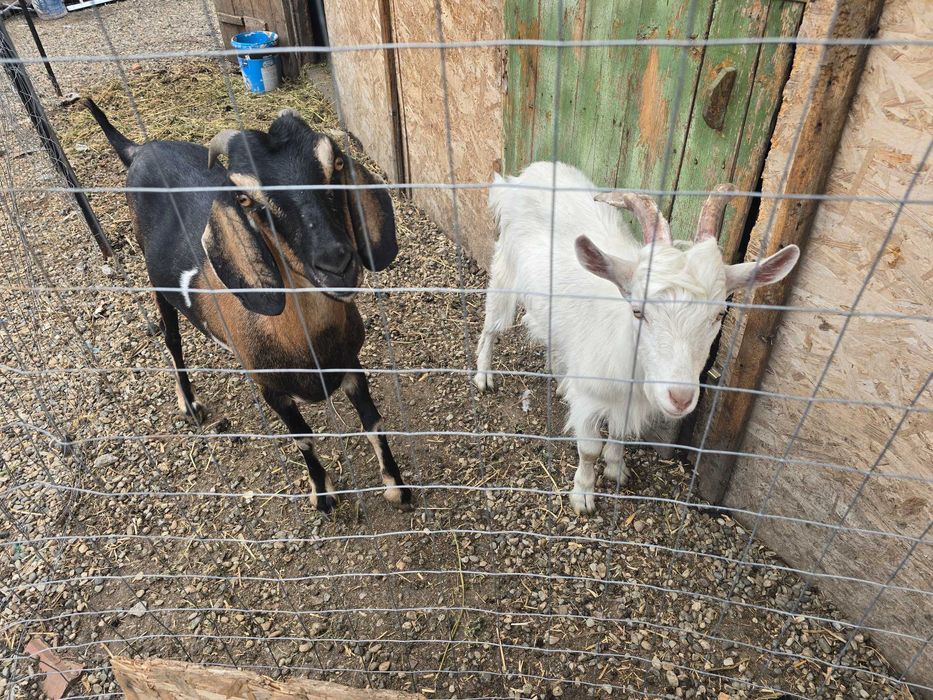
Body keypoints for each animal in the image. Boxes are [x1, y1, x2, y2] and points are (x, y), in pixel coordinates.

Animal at [82, 99, 409, 512]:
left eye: (335, 163)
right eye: (245, 199)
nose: (336, 264)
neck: (305, 343)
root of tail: (138, 149)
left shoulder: (352, 364)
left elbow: (373, 421)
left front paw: (397, 487)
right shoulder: (272, 390)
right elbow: (303, 438)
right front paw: (323, 496)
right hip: (155, 280)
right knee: (172, 338)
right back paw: (190, 405)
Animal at [474, 162, 799, 514]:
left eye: (719, 315)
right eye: (638, 311)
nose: (680, 397)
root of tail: (526, 175)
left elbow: (618, 435)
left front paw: (617, 468)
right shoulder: (590, 400)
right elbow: (589, 449)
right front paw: (583, 494)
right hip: (505, 272)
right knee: (491, 325)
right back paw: (483, 376)